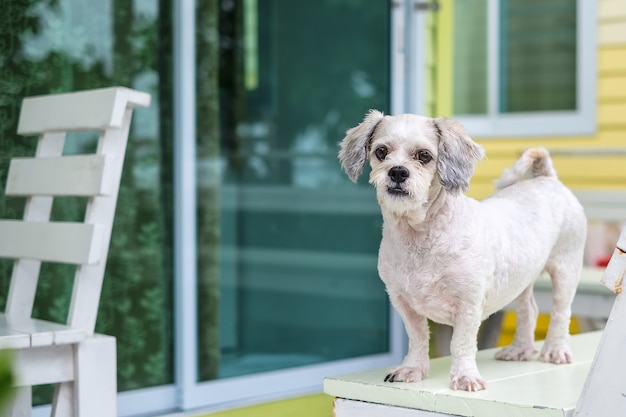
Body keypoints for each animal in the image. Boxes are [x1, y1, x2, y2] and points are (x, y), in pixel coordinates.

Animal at [336, 109, 584, 390]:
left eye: (424, 156)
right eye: (381, 151)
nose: (397, 172)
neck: (419, 237)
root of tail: (546, 178)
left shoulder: (468, 305)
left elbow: (461, 344)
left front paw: (465, 376)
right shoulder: (403, 303)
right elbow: (417, 338)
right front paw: (413, 369)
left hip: (566, 269)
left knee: (561, 313)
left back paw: (555, 350)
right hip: (520, 280)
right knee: (528, 311)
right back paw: (520, 349)